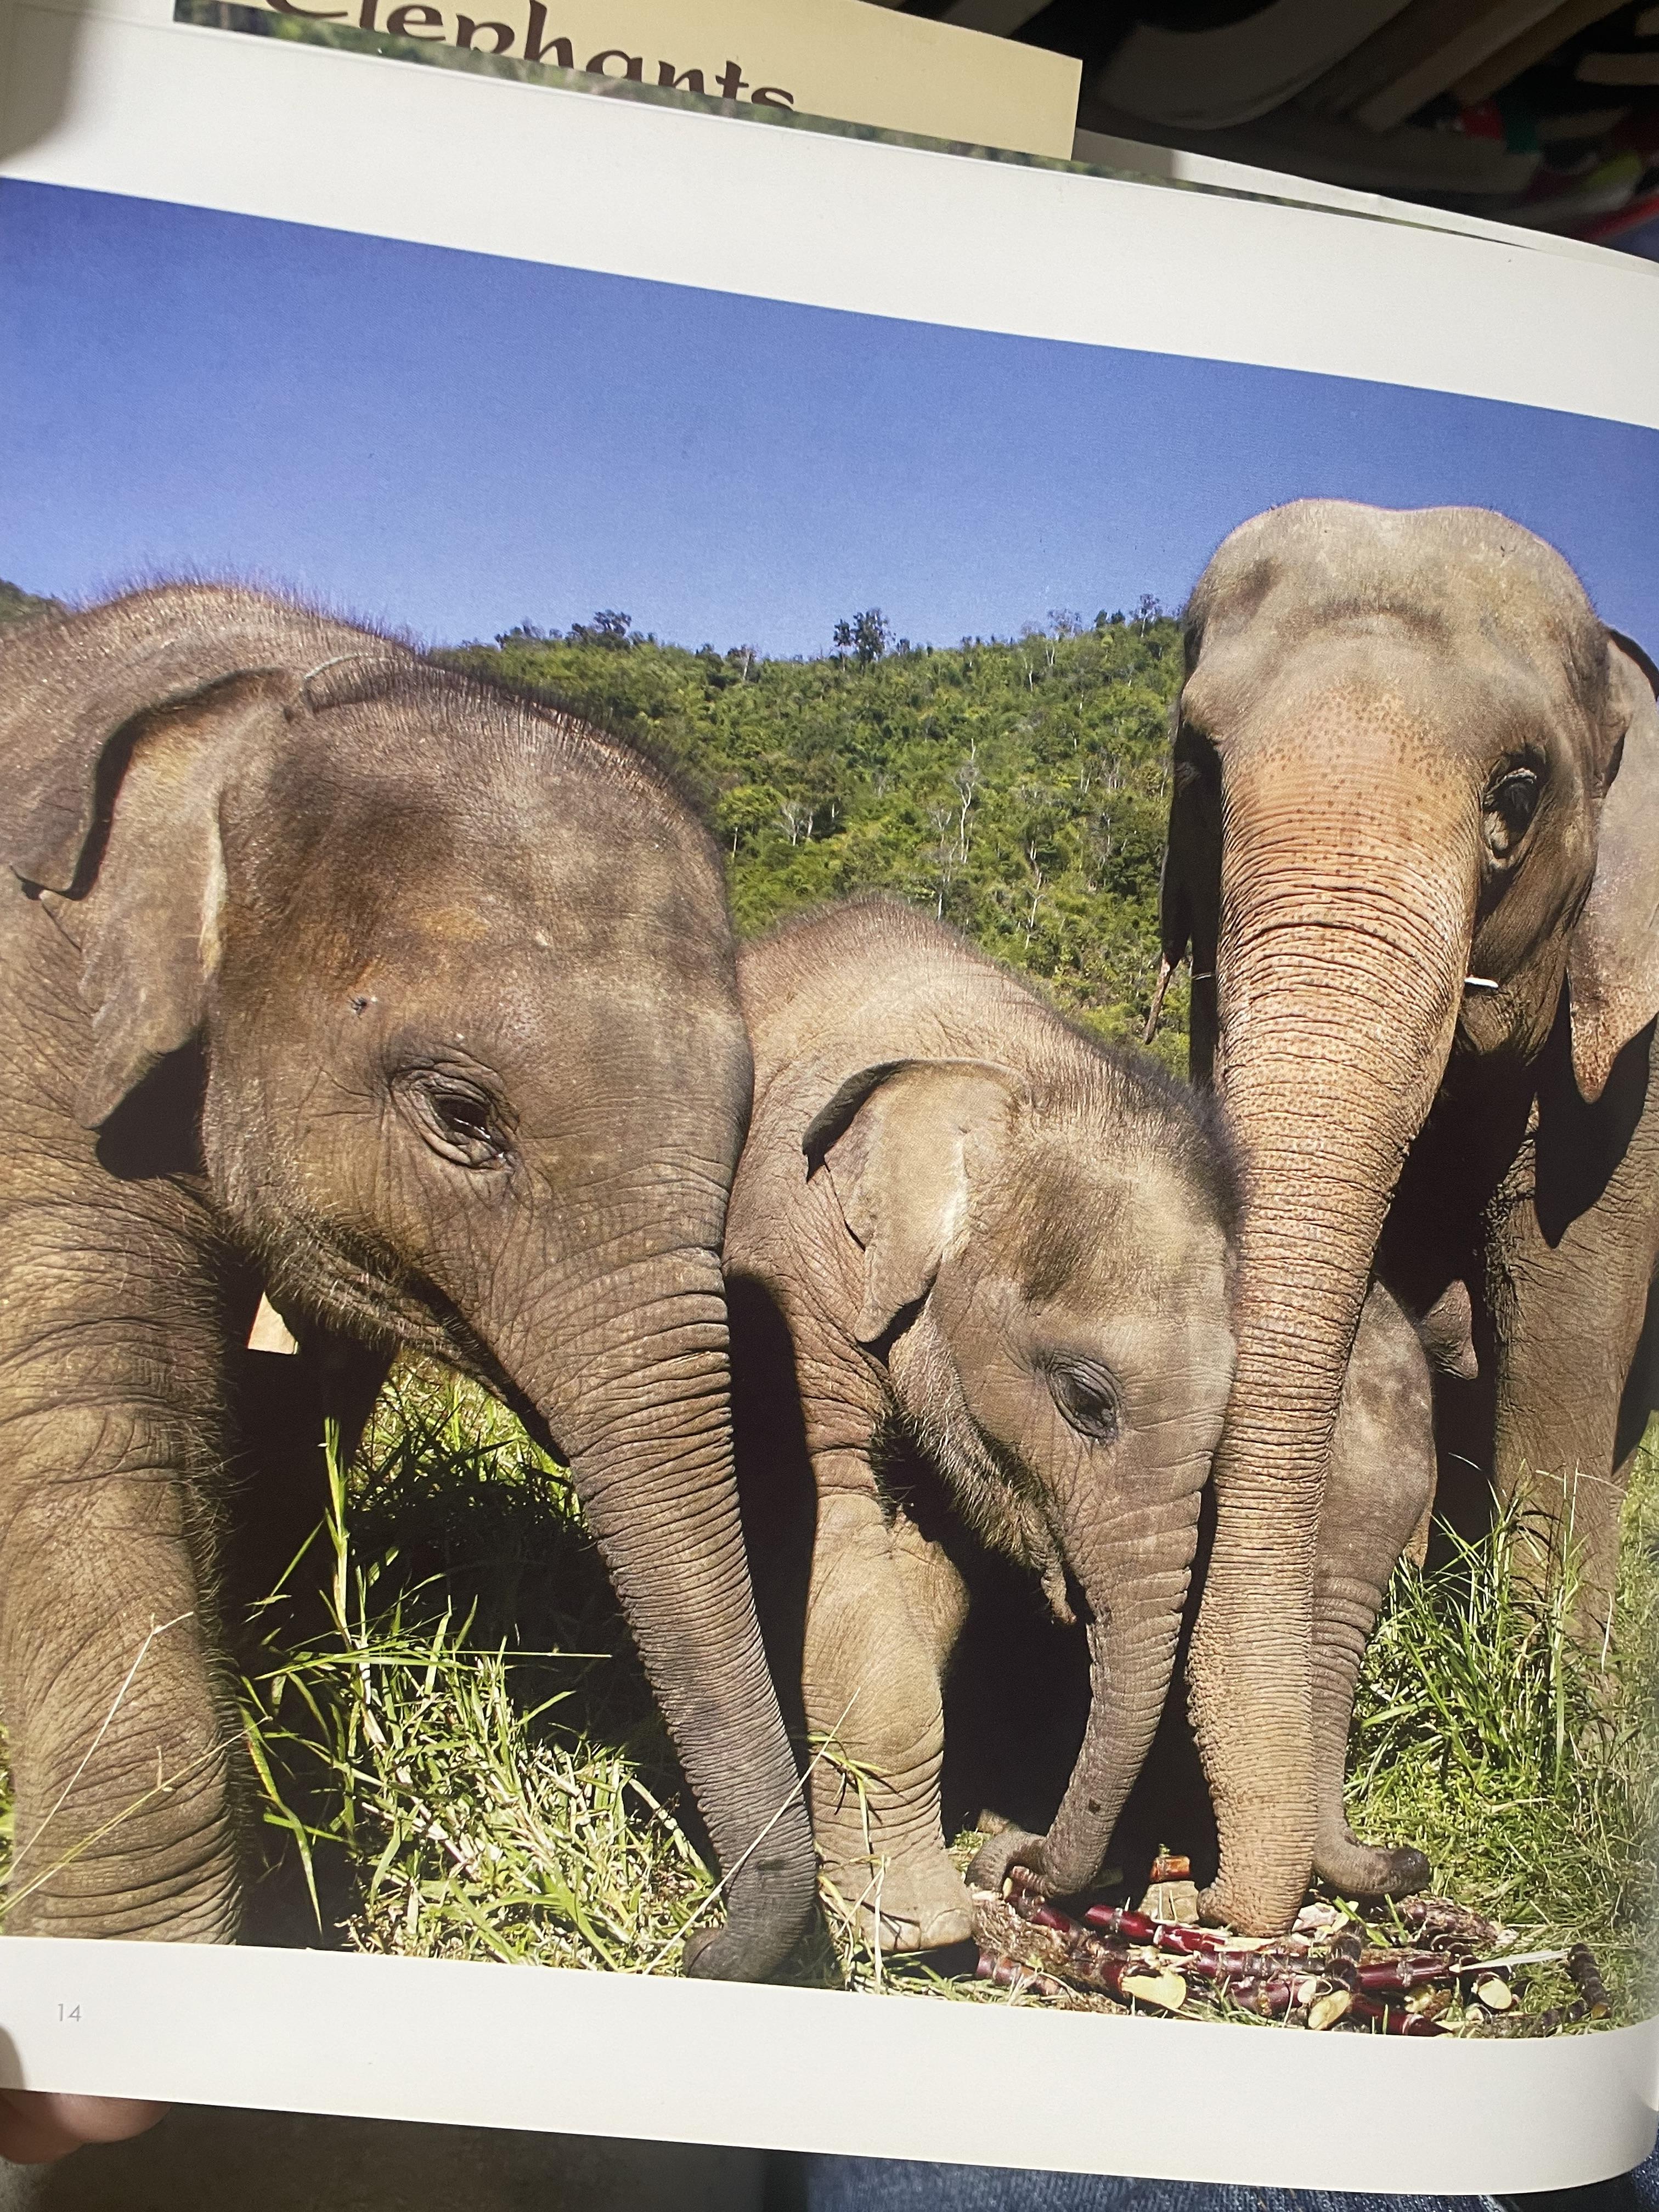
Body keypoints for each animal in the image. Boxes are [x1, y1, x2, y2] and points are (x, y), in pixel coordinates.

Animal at [724, 897, 1239, 1949]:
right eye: (1086, 1401)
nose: (1016, 1864)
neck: (1015, 1068)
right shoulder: (790, 1250)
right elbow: (825, 1520)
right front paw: (919, 1930)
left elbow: (926, 1578)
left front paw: (889, 1902)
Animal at [1149, 499, 1659, 1935]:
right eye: (1198, 767)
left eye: (1518, 796)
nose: (1404, 1863)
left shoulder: (1630, 1066)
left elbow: (1562, 1326)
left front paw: (1572, 1769)